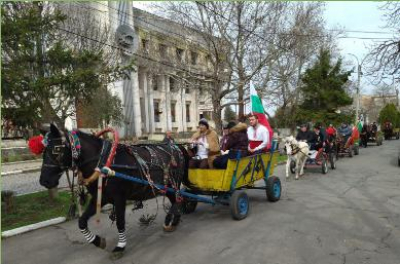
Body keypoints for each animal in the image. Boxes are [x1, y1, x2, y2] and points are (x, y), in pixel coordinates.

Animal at [39, 125, 190, 258]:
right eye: (43, 150)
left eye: (57, 149)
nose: (44, 181)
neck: (104, 161)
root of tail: (177, 146)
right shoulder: (100, 198)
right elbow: (81, 222)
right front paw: (98, 241)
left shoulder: (119, 198)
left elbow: (120, 222)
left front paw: (120, 247)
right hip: (168, 187)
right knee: (177, 200)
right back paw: (173, 222)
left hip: (173, 184)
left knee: (177, 200)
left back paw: (171, 220)